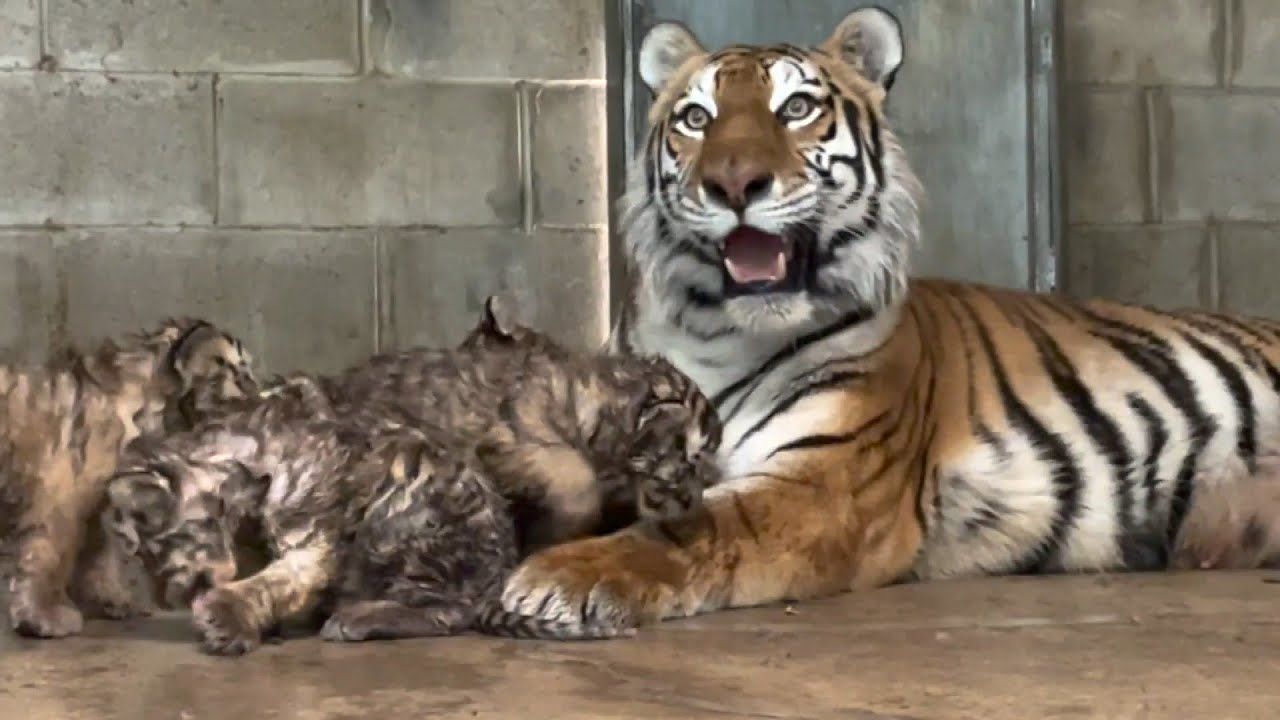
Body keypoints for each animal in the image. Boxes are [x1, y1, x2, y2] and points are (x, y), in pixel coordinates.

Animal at [496, 5, 1280, 625]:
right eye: (697, 118)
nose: (733, 183)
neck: (715, 331)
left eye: (795, 109)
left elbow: (696, 528)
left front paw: (557, 577)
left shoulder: (827, 480)